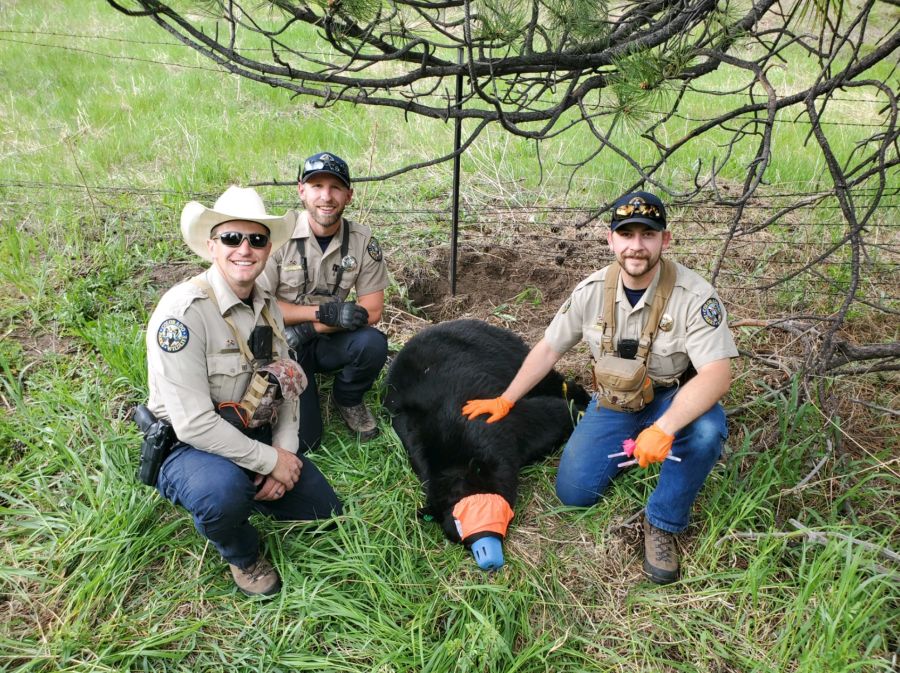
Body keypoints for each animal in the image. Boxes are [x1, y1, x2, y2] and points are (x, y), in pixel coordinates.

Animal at [382, 318, 588, 568]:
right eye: (460, 537)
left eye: (483, 512)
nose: (486, 557)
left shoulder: (493, 420)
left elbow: (547, 416)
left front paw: (578, 412)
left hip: (508, 351)